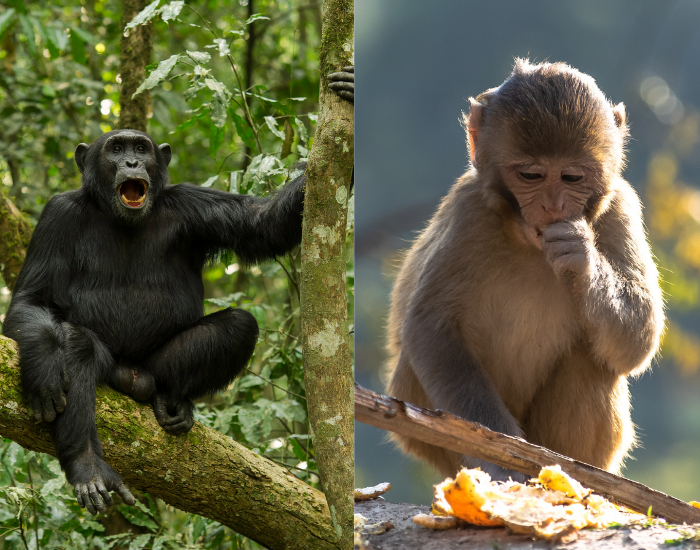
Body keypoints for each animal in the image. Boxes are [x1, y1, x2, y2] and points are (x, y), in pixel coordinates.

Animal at [384, 59, 664, 482]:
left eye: (572, 176)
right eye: (531, 175)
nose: (553, 206)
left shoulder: (621, 206)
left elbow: (639, 337)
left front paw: (580, 256)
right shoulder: (469, 212)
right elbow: (431, 330)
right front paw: (502, 461)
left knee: (594, 359)